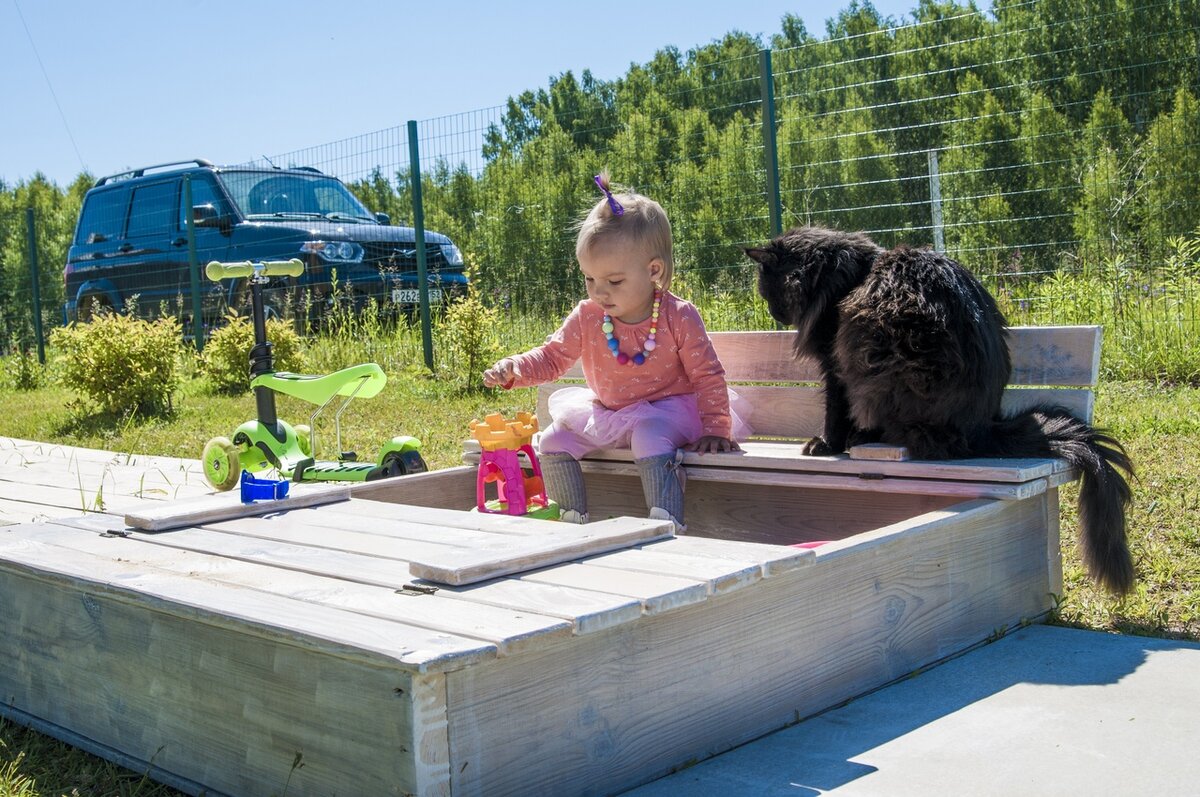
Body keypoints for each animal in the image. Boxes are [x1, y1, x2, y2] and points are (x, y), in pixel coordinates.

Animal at [748, 224, 1132, 590]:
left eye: (766, 292)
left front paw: (826, 445)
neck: (845, 275)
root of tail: (980, 430)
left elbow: (834, 412)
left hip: (878, 352)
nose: (773, 313)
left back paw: (865, 438)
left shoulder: (834, 362)